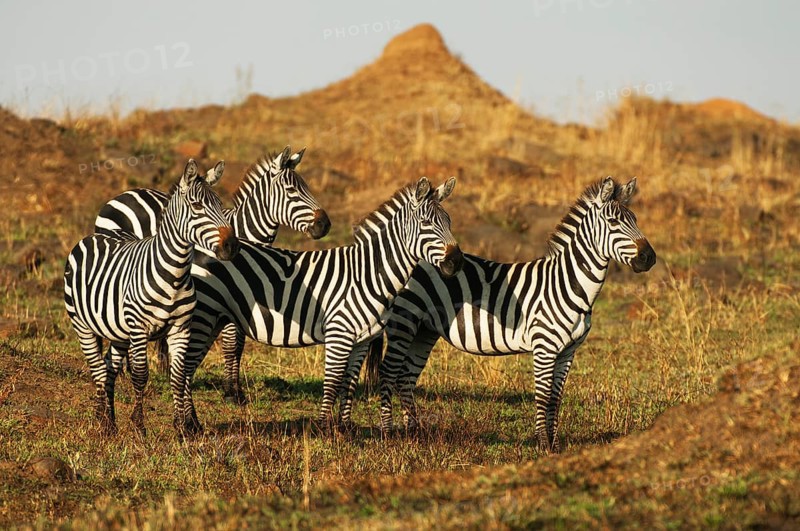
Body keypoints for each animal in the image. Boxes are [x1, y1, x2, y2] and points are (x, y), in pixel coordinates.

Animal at [64, 160, 240, 435]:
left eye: (220, 205)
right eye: (197, 206)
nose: (232, 246)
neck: (174, 275)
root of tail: (93, 236)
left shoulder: (181, 328)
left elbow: (178, 376)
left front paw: (182, 428)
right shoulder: (139, 328)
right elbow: (140, 375)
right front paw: (139, 426)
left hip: (118, 332)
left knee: (109, 368)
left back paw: (109, 421)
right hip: (82, 325)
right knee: (98, 370)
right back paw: (102, 422)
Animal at [94, 147, 330, 403]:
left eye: (306, 187)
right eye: (291, 190)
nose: (325, 224)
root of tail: (125, 193)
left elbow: (238, 345)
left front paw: (236, 390)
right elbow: (231, 344)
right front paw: (231, 392)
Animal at [170, 176, 464, 434]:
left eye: (449, 221)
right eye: (426, 223)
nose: (457, 261)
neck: (369, 274)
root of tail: (200, 247)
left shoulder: (362, 340)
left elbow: (349, 383)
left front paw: (345, 429)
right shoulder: (339, 334)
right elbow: (332, 383)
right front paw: (323, 429)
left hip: (211, 319)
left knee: (188, 369)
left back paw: (192, 422)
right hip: (203, 317)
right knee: (184, 368)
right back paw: (186, 425)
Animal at [363, 176, 656, 452]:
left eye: (635, 219)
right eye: (613, 222)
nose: (649, 258)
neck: (567, 283)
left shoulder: (568, 350)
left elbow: (556, 397)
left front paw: (555, 446)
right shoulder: (545, 346)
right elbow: (542, 395)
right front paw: (542, 445)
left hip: (424, 330)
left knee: (406, 377)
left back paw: (414, 435)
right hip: (404, 323)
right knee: (388, 373)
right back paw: (388, 435)